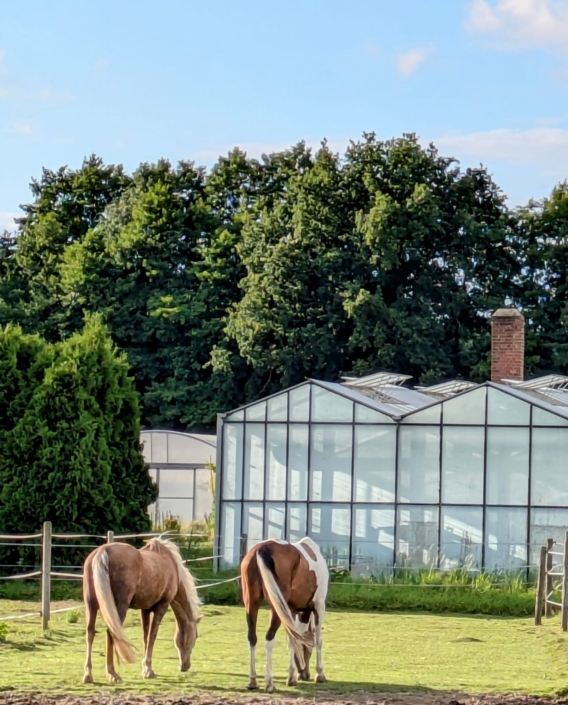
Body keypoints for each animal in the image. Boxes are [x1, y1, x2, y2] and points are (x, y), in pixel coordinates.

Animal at [82, 537, 201, 684]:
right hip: (119, 607)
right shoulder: (162, 606)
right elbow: (152, 636)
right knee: (111, 633)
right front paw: (148, 671)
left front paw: (145, 668)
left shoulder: (145, 610)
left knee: (90, 633)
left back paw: (88, 675)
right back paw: (112, 673)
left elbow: (145, 636)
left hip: (91, 605)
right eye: (196, 636)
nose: (185, 666)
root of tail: (102, 551)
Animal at [240, 536, 329, 693]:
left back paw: (253, 681)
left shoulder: (289, 611)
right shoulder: (319, 606)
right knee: (269, 638)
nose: (304, 675)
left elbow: (292, 640)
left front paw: (292, 677)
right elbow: (318, 640)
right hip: (275, 608)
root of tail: (262, 549)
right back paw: (269, 683)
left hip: (252, 603)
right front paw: (319, 674)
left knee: (252, 638)